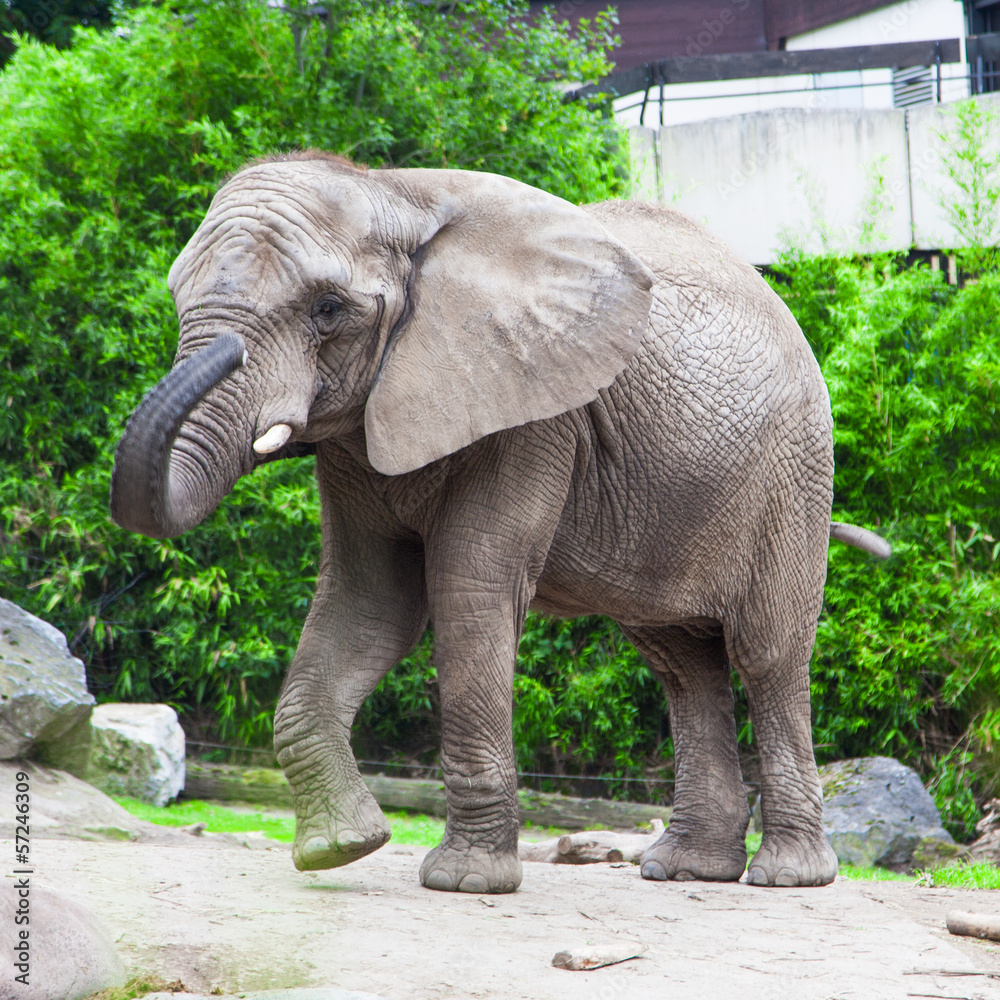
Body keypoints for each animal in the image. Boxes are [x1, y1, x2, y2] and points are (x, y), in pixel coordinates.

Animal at [110, 151, 889, 894]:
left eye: (328, 309)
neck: (393, 192)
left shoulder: (534, 413)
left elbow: (469, 590)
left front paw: (465, 882)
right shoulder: (362, 435)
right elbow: (370, 602)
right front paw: (343, 849)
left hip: (793, 471)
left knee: (767, 653)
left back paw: (788, 875)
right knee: (681, 662)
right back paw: (688, 868)